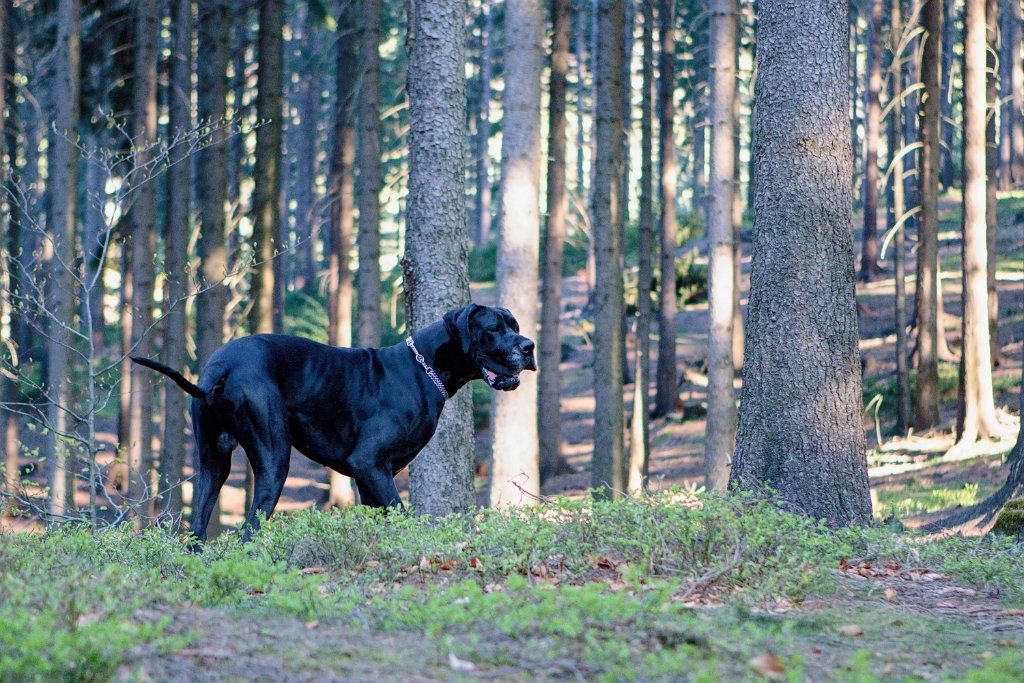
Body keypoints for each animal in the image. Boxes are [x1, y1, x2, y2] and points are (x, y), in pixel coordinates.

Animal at [132, 307, 536, 540]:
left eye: (515, 325)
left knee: (198, 528)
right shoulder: (368, 463)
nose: (529, 346)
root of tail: (223, 364)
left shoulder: (373, 476)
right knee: (248, 530)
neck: (425, 369)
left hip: (212, 463)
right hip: (274, 459)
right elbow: (402, 515)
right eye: (494, 328)